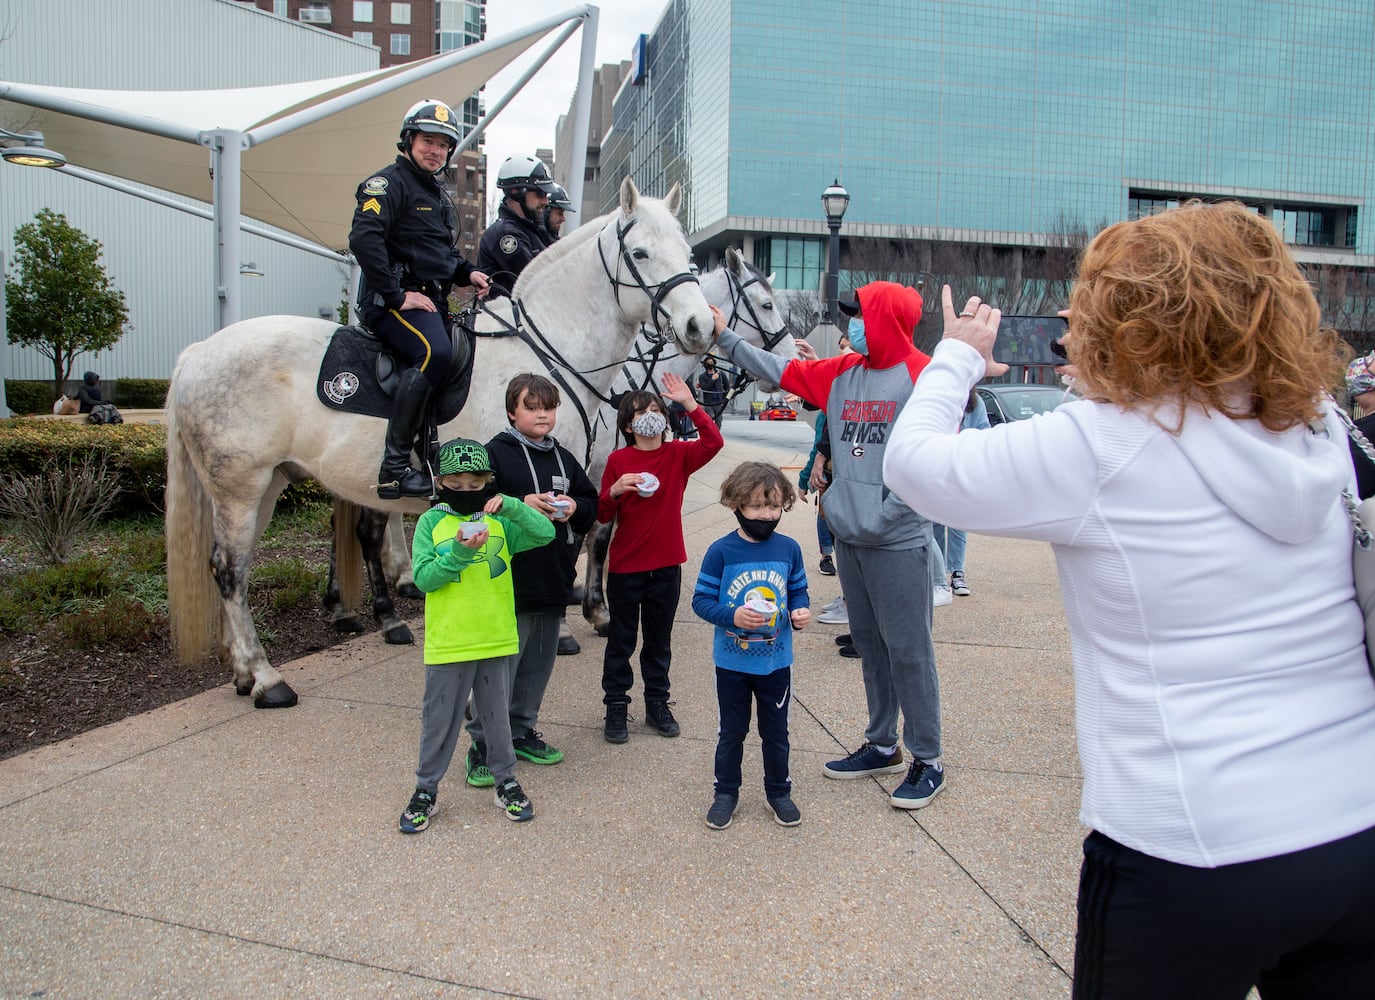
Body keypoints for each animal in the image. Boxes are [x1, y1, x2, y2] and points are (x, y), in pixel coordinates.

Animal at [166, 180, 715, 709]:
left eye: (688, 253)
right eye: (640, 253)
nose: (701, 326)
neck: (544, 356)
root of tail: (197, 351)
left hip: (266, 486)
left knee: (237, 568)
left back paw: (243, 668)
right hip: (240, 488)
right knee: (230, 570)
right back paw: (266, 676)